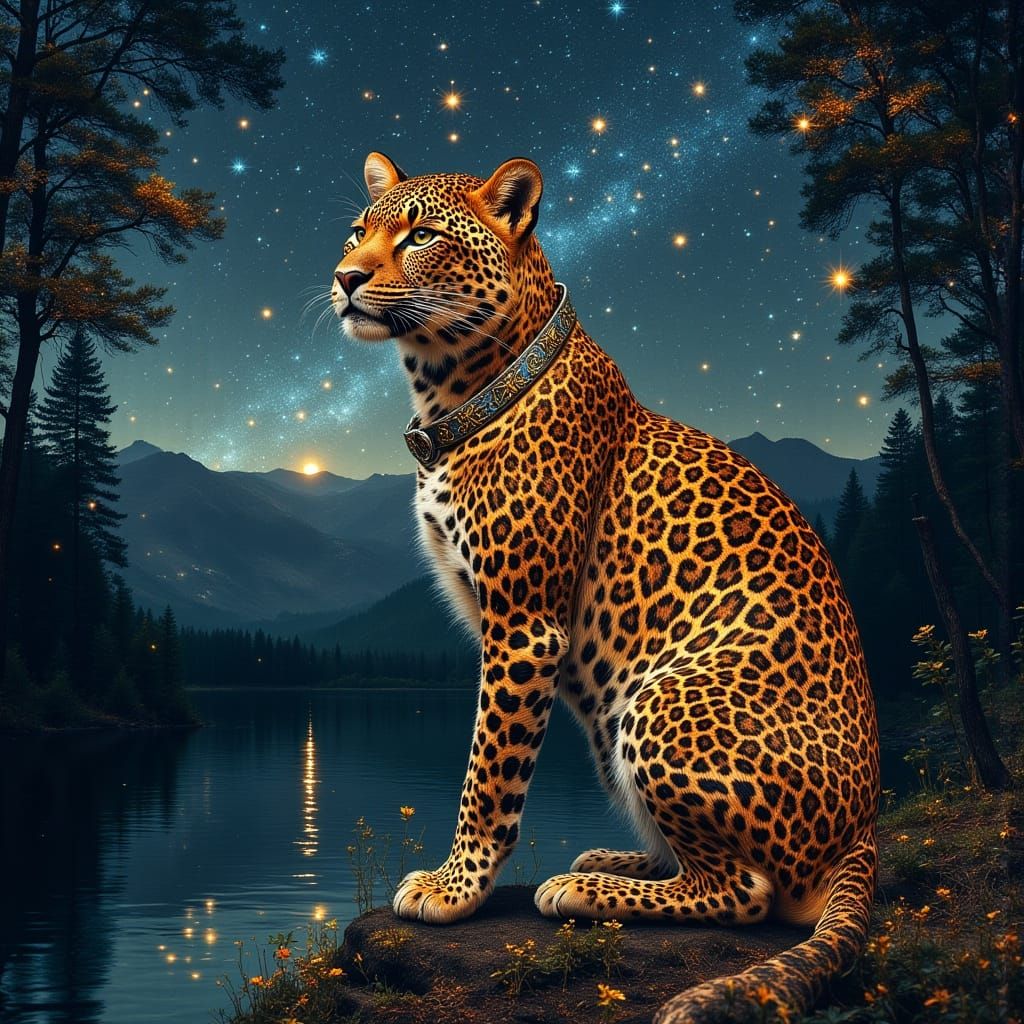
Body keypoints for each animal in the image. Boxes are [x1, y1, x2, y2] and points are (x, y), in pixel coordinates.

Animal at [330, 151, 880, 1024]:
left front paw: (454, 889)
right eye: (359, 230)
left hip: (662, 700)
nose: (345, 276)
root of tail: (867, 832)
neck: (450, 388)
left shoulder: (523, 627)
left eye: (419, 236)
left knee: (748, 891)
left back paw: (582, 889)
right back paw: (616, 859)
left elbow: (489, 769)